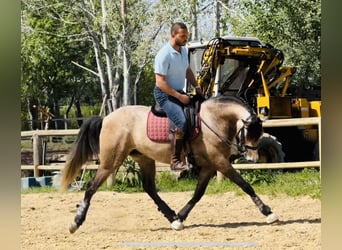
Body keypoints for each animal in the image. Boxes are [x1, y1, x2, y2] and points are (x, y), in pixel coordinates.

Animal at [60, 94, 280, 233]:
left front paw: (180, 216)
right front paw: (268, 212)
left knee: (149, 188)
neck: (212, 119)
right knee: (91, 187)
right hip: (110, 162)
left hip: (144, 158)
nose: (253, 159)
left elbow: (198, 194)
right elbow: (245, 185)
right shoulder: (220, 162)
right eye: (248, 132)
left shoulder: (210, 165)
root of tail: (106, 118)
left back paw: (171, 216)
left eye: (259, 133)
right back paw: (76, 222)